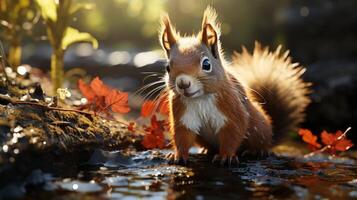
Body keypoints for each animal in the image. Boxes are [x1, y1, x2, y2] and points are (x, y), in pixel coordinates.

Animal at [160, 6, 310, 166]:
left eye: (206, 64)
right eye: (168, 67)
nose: (183, 83)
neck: (201, 98)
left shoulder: (231, 109)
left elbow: (232, 133)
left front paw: (226, 156)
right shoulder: (183, 115)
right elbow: (182, 135)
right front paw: (178, 156)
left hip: (259, 127)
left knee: (262, 142)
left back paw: (257, 151)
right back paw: (207, 150)